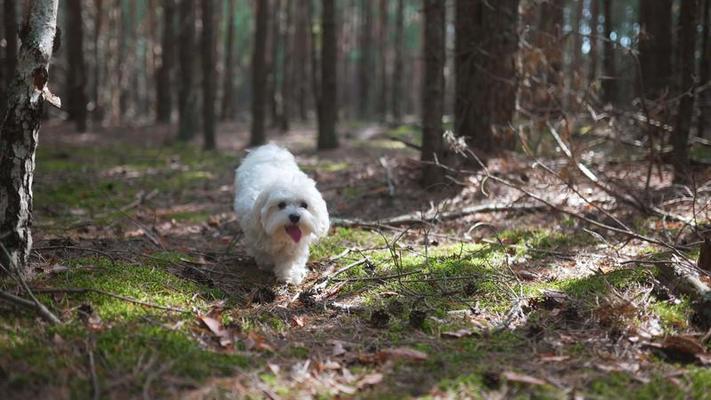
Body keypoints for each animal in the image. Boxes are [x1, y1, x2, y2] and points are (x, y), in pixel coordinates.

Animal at [236, 144, 330, 284]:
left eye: (304, 205)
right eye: (281, 205)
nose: (295, 217)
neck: (281, 236)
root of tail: (271, 150)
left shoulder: (297, 246)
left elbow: (291, 260)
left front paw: (290, 274)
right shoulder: (254, 233)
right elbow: (262, 252)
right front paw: (268, 264)